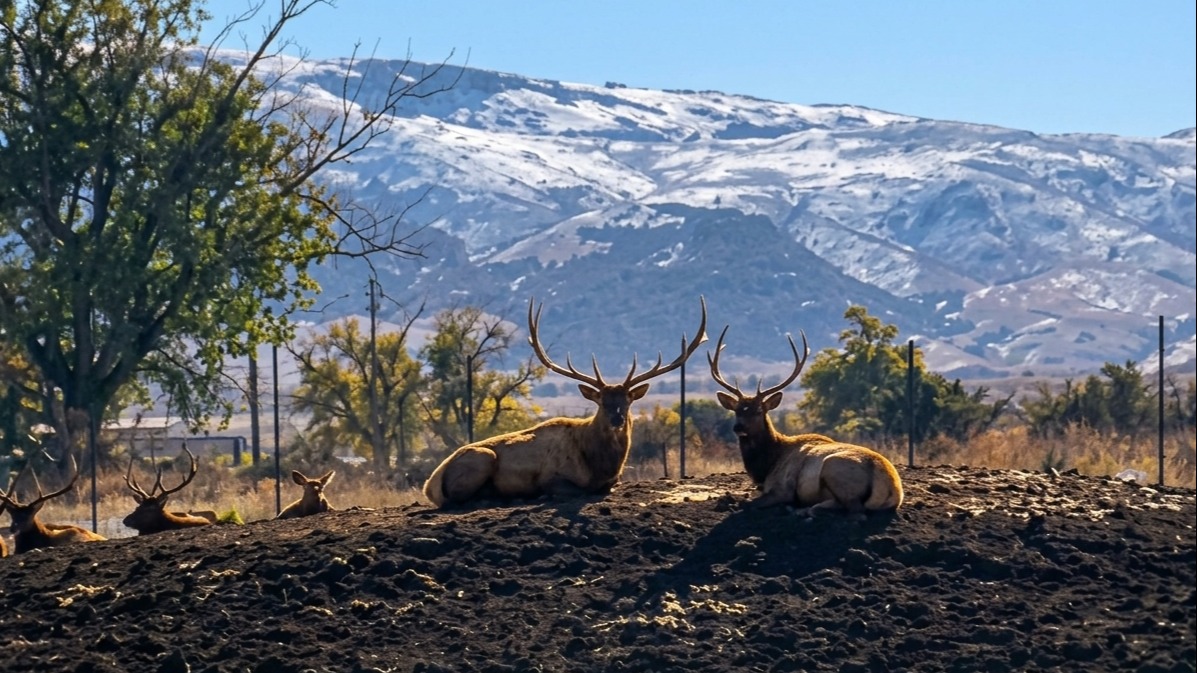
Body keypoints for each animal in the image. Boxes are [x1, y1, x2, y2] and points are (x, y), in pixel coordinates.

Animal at [422, 296, 708, 507]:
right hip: (482, 457)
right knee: (455, 499)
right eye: (601, 401)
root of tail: (429, 485)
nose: (616, 418)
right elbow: (577, 490)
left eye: (627, 401)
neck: (600, 464)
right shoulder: (551, 477)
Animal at [708, 326, 903, 515]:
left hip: (833, 467)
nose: (738, 427)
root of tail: (893, 490)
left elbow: (748, 504)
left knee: (856, 511)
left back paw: (806, 509)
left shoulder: (782, 489)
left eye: (758, 411)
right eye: (736, 410)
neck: (767, 465)